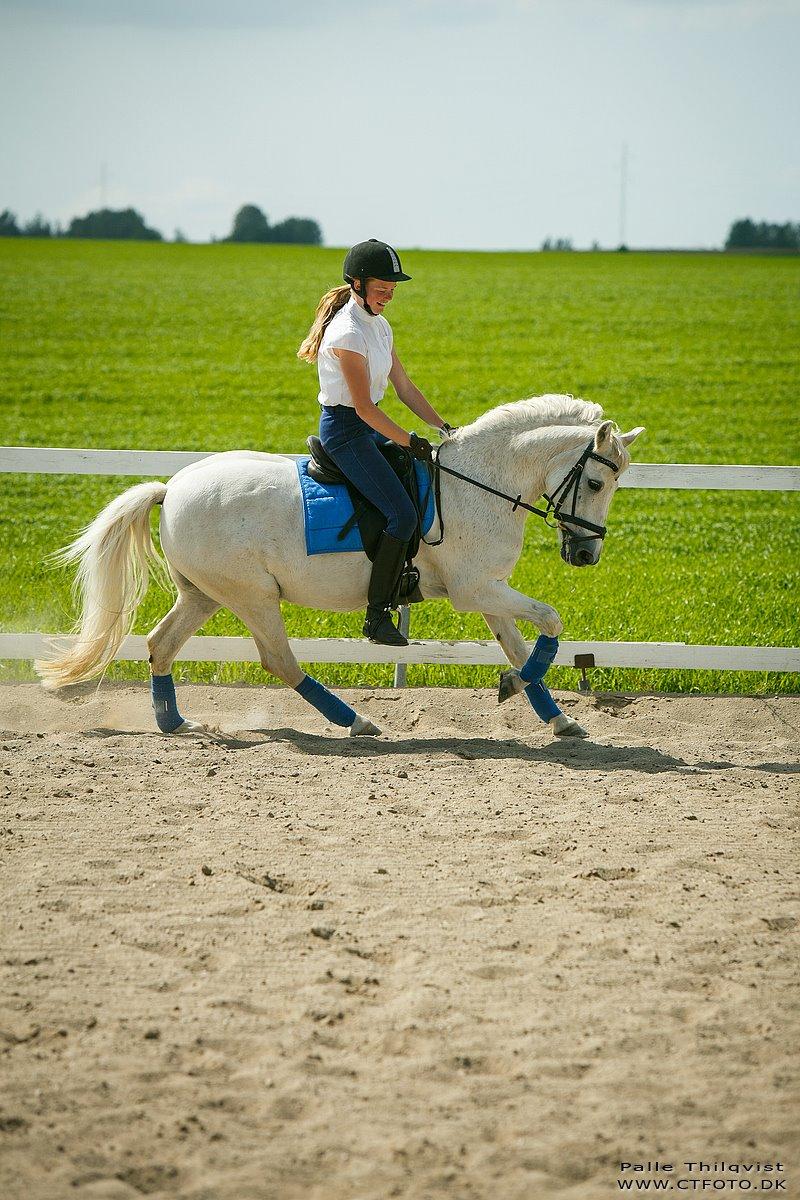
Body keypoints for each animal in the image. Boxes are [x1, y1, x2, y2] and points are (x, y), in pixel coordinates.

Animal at [35, 393, 642, 734]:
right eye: (595, 482)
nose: (585, 554)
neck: (477, 483)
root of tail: (173, 487)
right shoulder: (474, 591)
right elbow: (551, 621)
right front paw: (516, 688)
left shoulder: (489, 589)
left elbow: (523, 643)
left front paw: (555, 715)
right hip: (253, 597)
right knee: (279, 661)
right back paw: (357, 722)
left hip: (205, 595)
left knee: (161, 644)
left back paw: (176, 723)